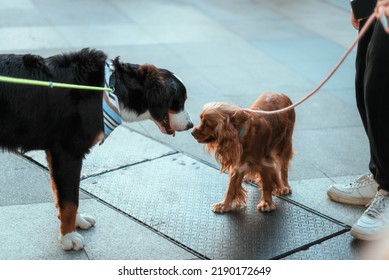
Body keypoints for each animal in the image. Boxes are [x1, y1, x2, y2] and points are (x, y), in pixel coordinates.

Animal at [0, 47, 193, 249]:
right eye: (179, 102)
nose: (191, 125)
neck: (113, 89)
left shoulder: (55, 153)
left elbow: (62, 194)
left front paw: (76, 221)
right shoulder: (69, 153)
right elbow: (70, 200)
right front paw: (69, 236)